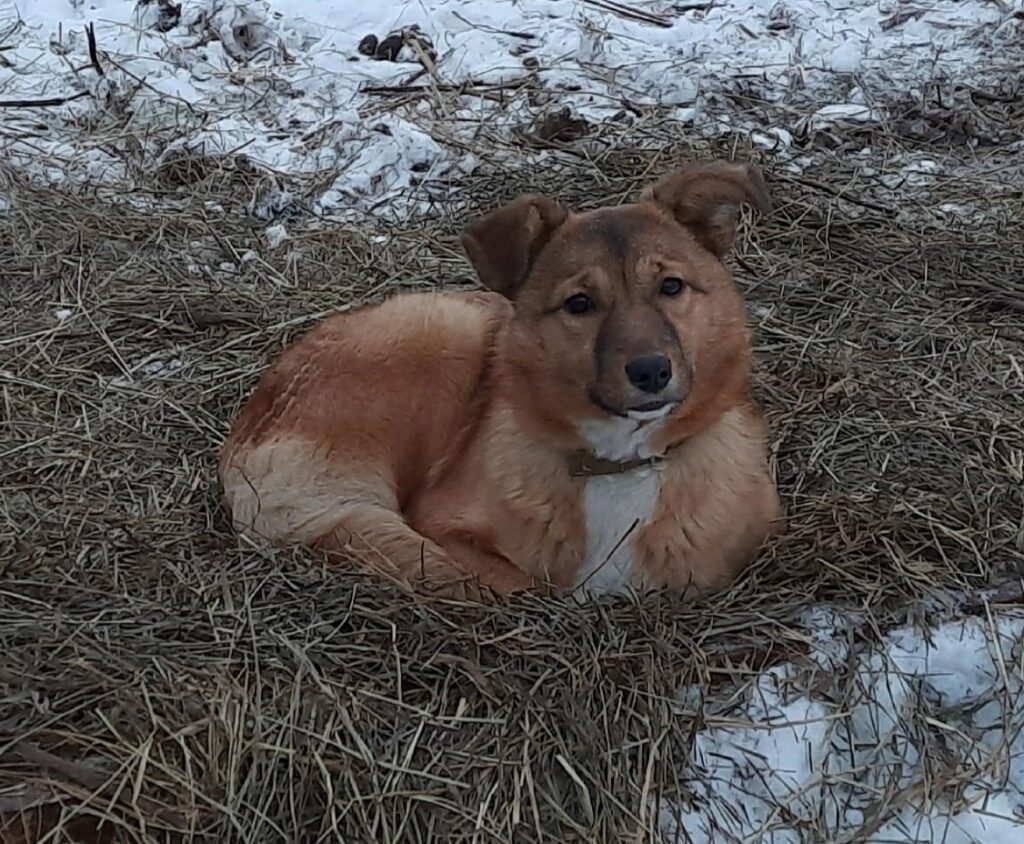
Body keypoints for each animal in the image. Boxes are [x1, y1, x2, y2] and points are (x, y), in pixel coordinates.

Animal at [220, 161, 782, 598]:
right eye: (580, 303)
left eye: (671, 286)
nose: (651, 371)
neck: (620, 463)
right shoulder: (445, 530)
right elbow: (515, 583)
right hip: (448, 330)